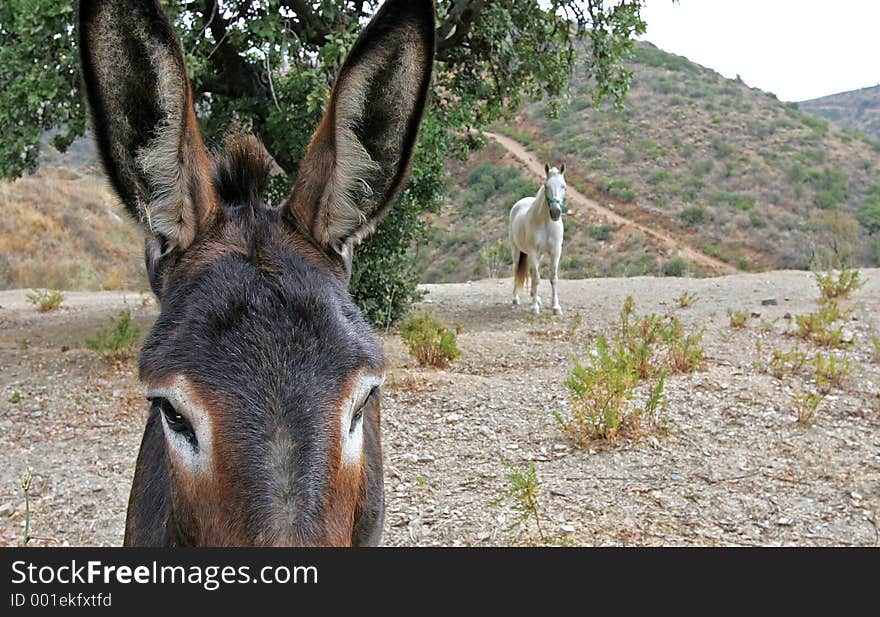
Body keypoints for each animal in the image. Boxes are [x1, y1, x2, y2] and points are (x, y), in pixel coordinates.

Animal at [506, 162, 568, 312]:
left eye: (563, 186)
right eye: (546, 186)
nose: (555, 212)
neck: (546, 223)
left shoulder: (555, 252)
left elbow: (553, 278)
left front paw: (556, 307)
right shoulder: (533, 252)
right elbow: (536, 278)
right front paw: (534, 308)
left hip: (538, 255)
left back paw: (536, 297)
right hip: (517, 251)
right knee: (516, 270)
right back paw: (516, 298)